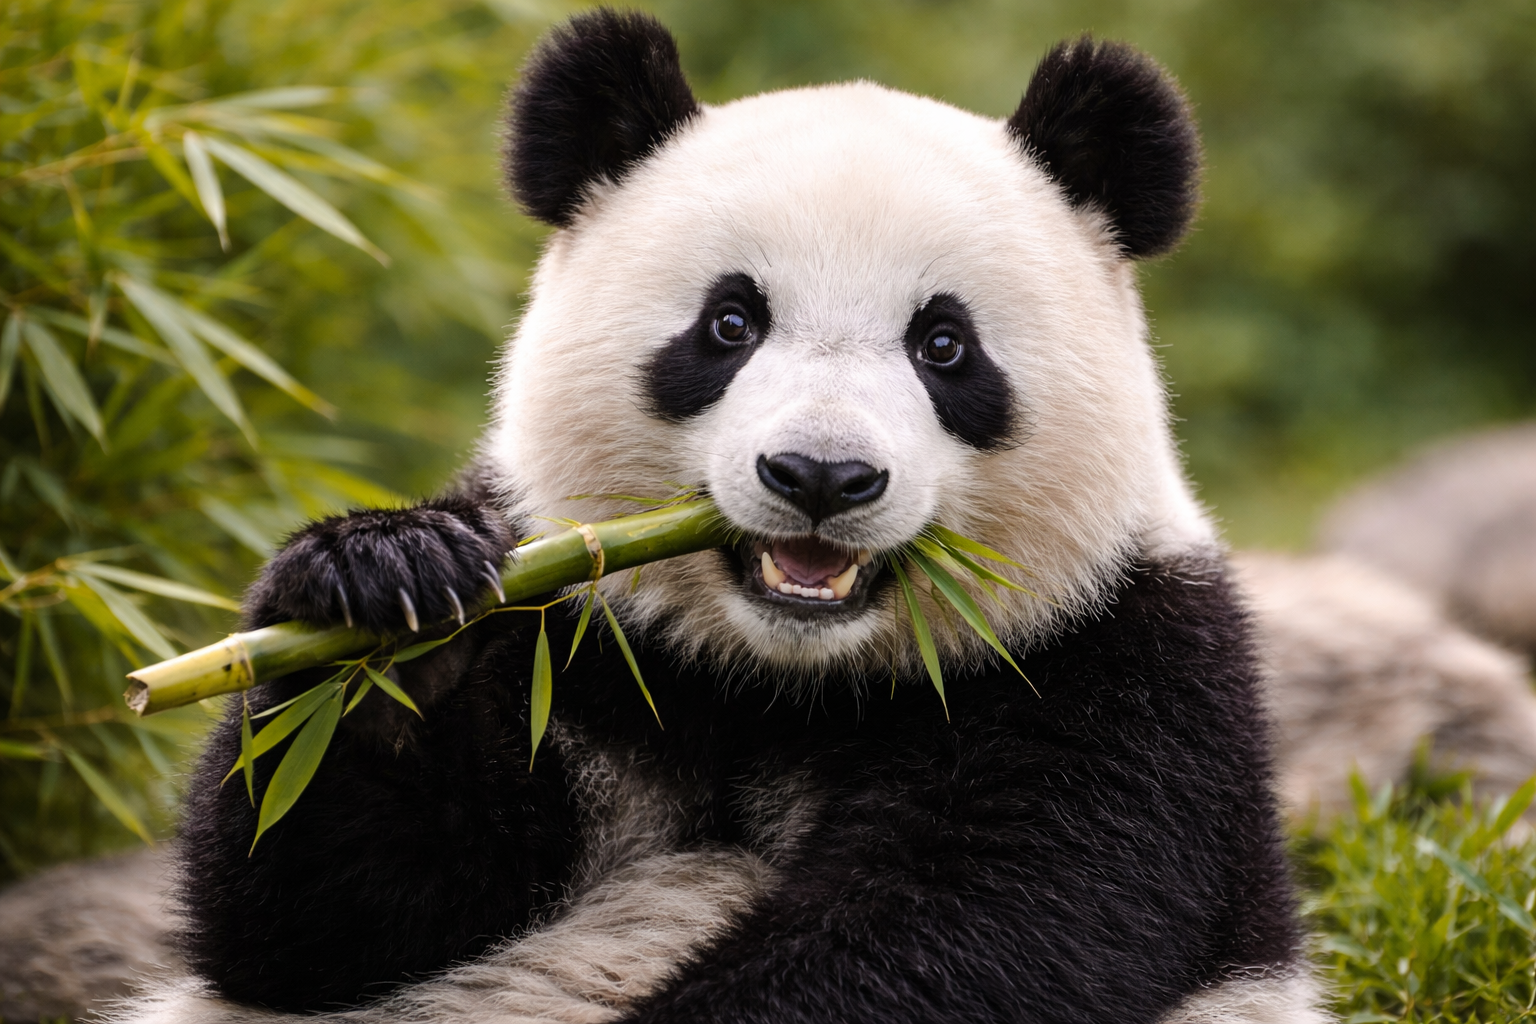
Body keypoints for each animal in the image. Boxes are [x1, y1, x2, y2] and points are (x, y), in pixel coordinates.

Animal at [122, 10, 1326, 1024]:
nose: (821, 476)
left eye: (944, 345)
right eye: (730, 323)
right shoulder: (584, 644)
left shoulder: (1113, 672)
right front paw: (384, 600)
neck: (780, 683)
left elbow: (978, 926)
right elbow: (322, 918)